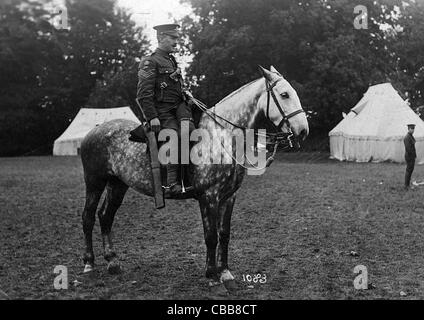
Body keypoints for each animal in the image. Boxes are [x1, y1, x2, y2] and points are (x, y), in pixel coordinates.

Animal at [79, 66, 306, 294]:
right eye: (284, 94)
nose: (303, 130)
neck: (221, 136)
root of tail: (94, 130)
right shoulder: (209, 197)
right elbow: (211, 236)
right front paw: (213, 277)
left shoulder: (229, 197)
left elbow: (224, 234)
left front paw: (226, 274)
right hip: (94, 182)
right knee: (88, 217)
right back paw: (89, 263)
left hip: (117, 184)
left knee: (105, 216)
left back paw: (112, 261)